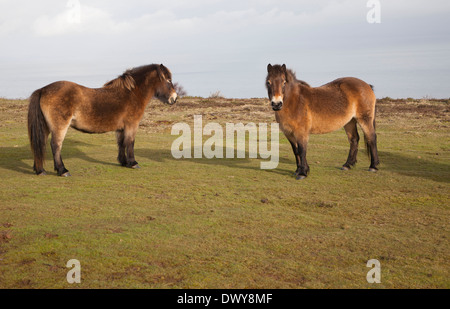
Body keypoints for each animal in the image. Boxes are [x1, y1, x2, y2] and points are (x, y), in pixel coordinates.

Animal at [28, 63, 178, 176]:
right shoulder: (132, 125)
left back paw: (40, 170)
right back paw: (62, 170)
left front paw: (123, 162)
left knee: (40, 144)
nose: (174, 98)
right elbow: (130, 142)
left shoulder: (121, 128)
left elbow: (121, 143)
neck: (131, 94)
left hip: (46, 127)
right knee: (56, 145)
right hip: (60, 127)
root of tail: (43, 89)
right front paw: (133, 163)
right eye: (168, 80)